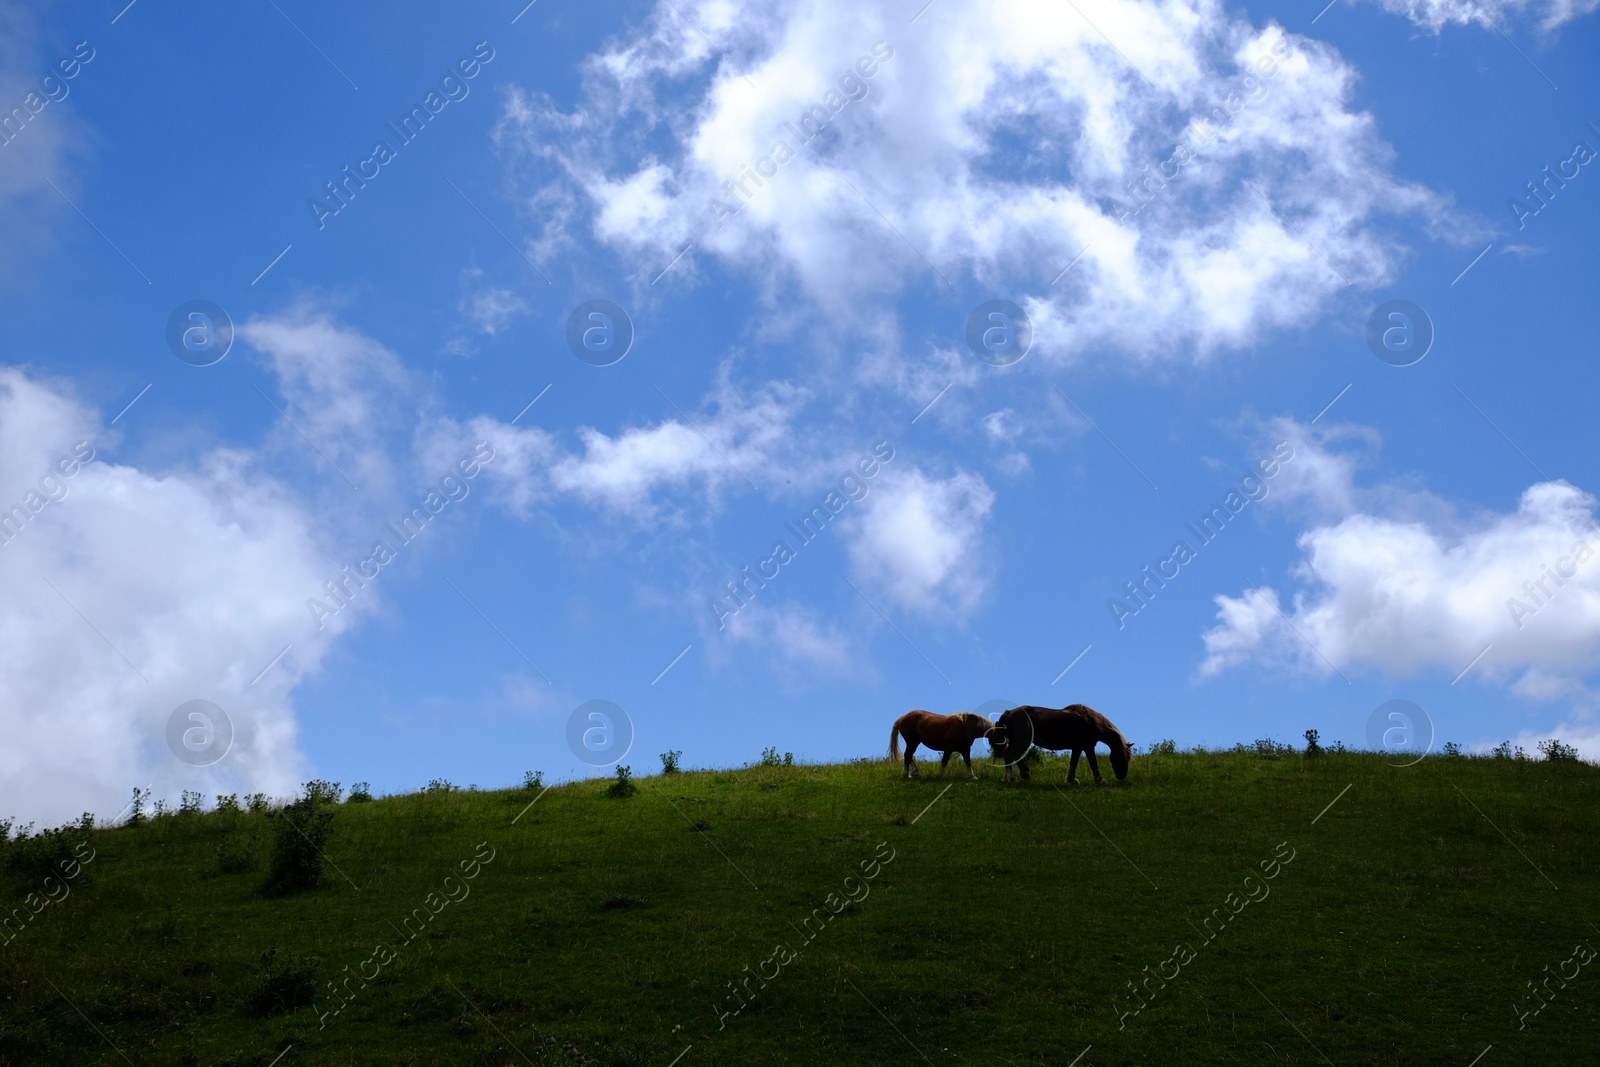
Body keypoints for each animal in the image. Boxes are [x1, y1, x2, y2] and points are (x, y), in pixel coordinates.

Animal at [979, 703, 1132, 790]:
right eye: (1122, 757)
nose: (1122, 776)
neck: (1089, 722)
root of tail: (1009, 712)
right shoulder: (1087, 746)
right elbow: (1093, 763)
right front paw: (1100, 781)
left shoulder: (1078, 747)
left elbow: (1073, 763)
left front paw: (1072, 780)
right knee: (1012, 755)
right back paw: (1014, 777)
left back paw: (1019, 776)